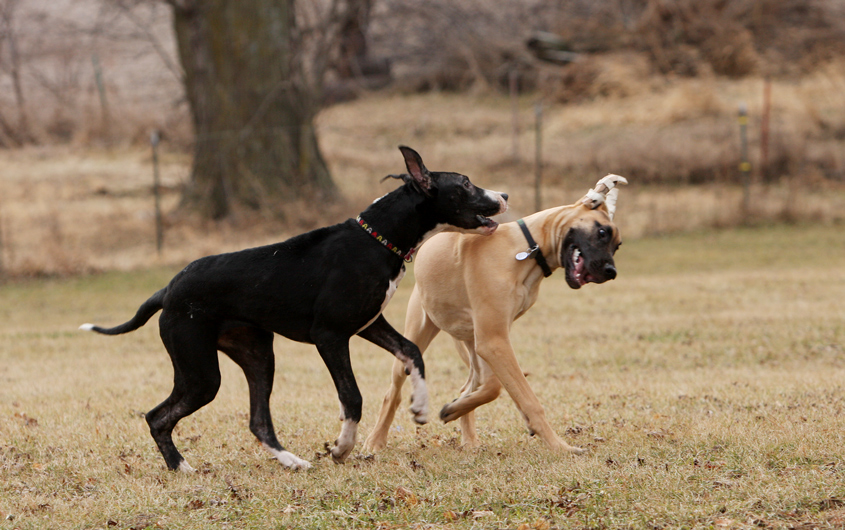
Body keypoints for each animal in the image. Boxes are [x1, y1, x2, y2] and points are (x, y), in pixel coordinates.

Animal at [81, 145, 508, 470]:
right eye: (465, 183)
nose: (504, 196)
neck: (377, 238)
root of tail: (168, 289)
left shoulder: (369, 324)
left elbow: (412, 351)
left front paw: (420, 406)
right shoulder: (330, 336)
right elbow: (352, 397)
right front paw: (342, 447)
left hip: (257, 357)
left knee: (258, 421)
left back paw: (292, 462)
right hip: (201, 372)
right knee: (157, 416)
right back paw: (181, 467)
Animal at [362, 175, 628, 452]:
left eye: (617, 246)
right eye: (601, 232)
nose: (610, 272)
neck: (527, 249)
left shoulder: (493, 339)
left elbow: (496, 387)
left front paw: (454, 409)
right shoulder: (493, 342)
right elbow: (525, 398)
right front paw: (559, 447)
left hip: (470, 340)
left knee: (471, 384)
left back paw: (467, 436)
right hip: (420, 333)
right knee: (393, 393)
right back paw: (375, 441)